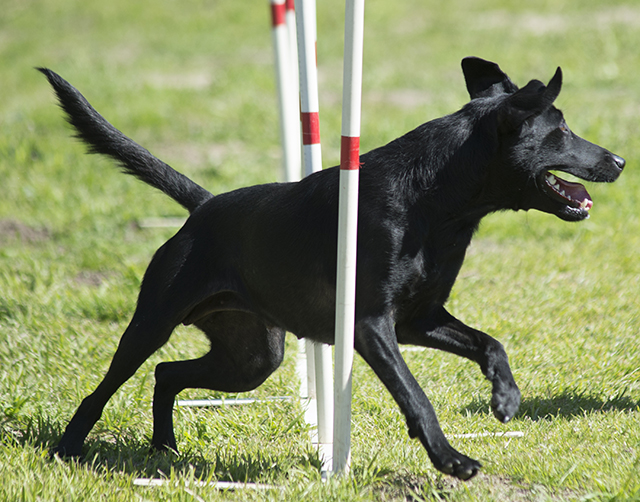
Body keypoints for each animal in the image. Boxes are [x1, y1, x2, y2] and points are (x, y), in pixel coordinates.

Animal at [37, 56, 624, 480]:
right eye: (561, 131)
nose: (619, 161)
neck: (436, 202)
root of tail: (205, 207)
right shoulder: (371, 325)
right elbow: (416, 397)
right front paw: (451, 461)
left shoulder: (420, 319)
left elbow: (489, 343)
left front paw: (506, 397)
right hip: (154, 322)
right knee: (106, 388)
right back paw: (66, 451)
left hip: (253, 357)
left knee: (166, 373)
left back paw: (164, 448)